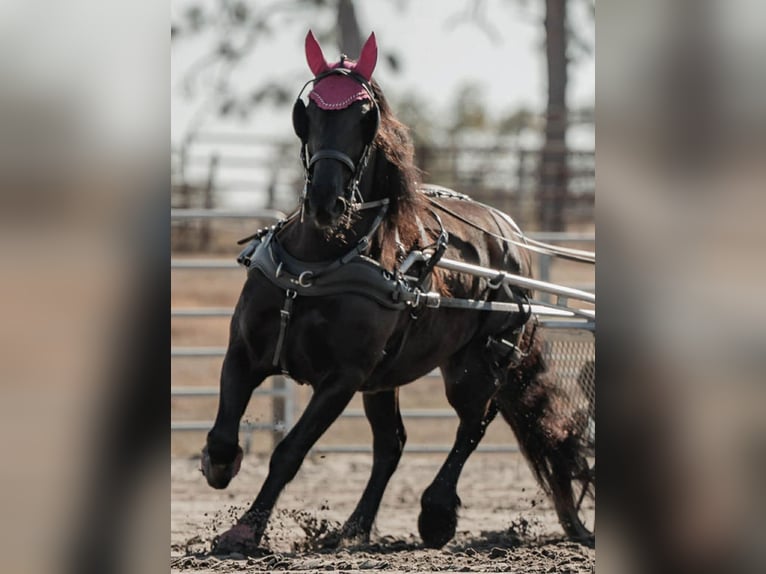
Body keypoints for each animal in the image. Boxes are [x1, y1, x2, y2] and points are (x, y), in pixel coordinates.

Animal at [201, 31, 592, 554]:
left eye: (365, 116)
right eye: (310, 111)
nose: (326, 202)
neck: (316, 266)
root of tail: (511, 234)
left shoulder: (343, 377)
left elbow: (290, 451)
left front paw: (245, 530)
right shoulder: (244, 351)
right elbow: (224, 434)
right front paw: (219, 467)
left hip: (477, 363)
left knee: (473, 423)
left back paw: (436, 513)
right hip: (385, 378)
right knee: (394, 443)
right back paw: (352, 528)